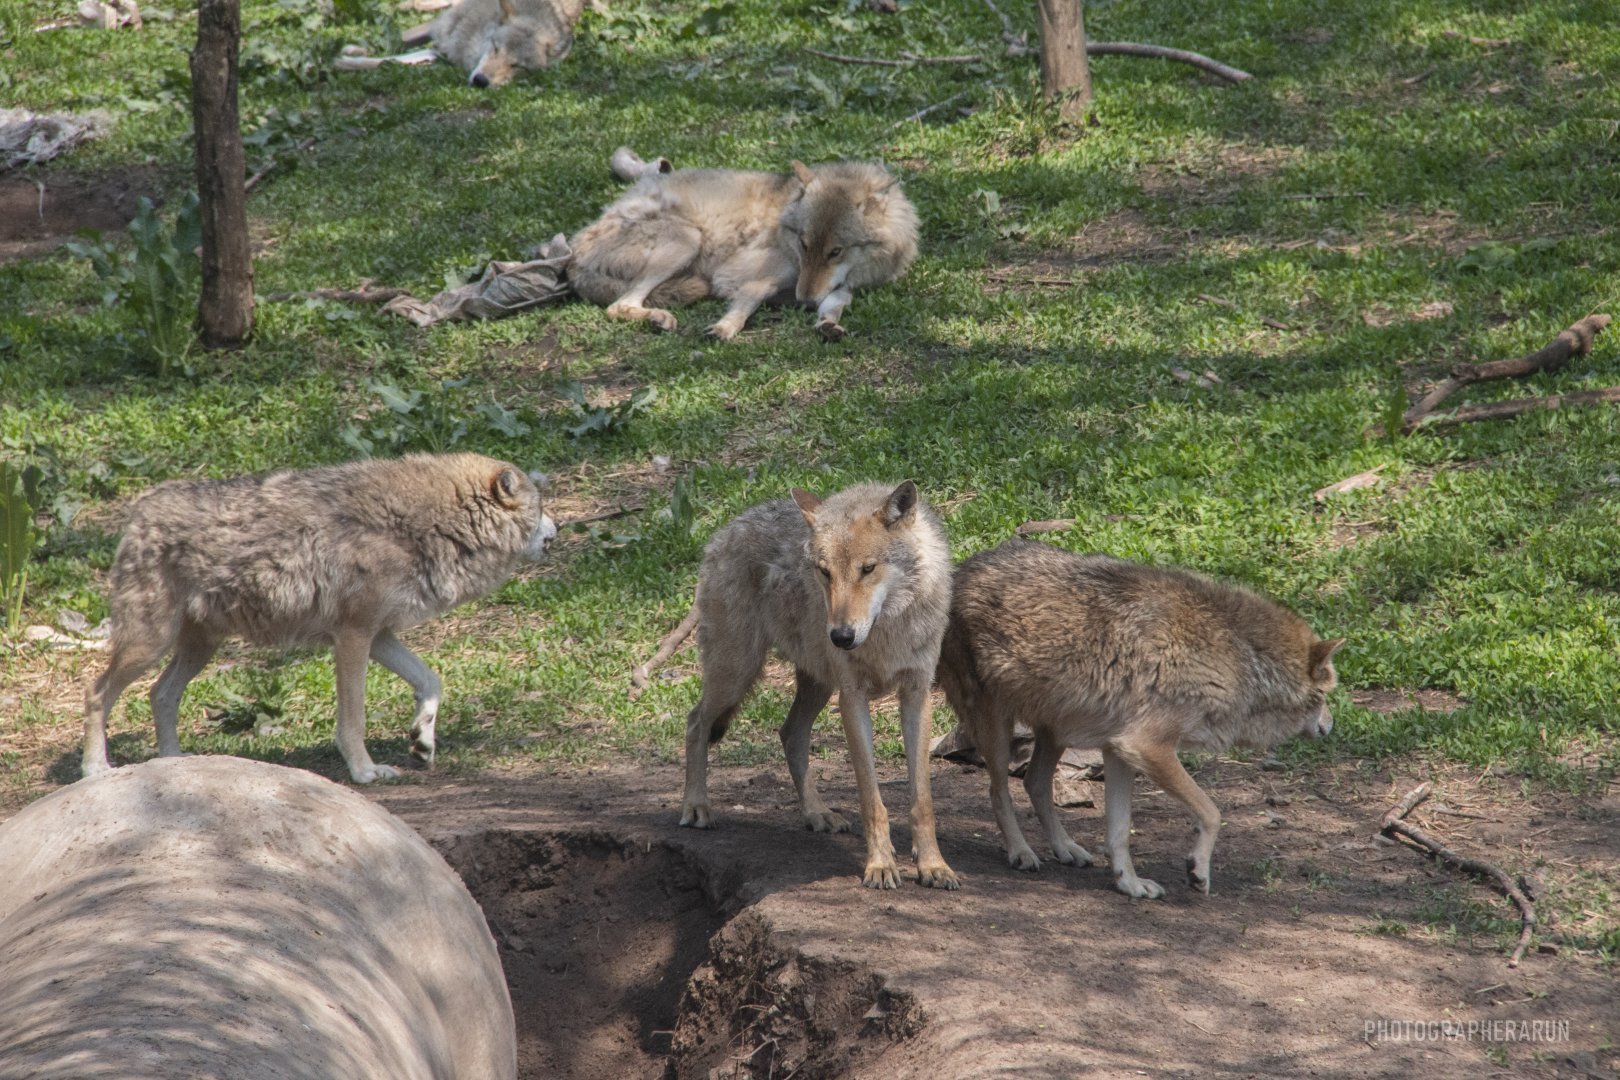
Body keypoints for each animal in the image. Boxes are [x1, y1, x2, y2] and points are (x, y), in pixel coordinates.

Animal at [82, 453, 557, 785]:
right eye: (540, 509)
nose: (558, 531)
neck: (422, 525)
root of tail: (140, 509)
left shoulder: (380, 635)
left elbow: (431, 680)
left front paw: (422, 740)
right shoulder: (353, 637)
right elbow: (353, 720)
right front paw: (365, 772)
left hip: (200, 648)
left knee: (160, 694)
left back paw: (173, 763)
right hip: (150, 644)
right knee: (98, 692)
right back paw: (96, 769)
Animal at [567, 149, 919, 341]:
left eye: (835, 251)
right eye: (804, 244)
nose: (803, 301)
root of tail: (572, 257)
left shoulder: (841, 287)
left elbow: (835, 304)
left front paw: (827, 324)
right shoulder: (757, 277)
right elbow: (747, 300)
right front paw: (724, 328)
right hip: (687, 238)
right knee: (618, 306)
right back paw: (658, 317)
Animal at [680, 481, 958, 890]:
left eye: (867, 569)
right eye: (825, 573)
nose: (841, 637)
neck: (887, 632)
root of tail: (725, 529)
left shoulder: (917, 696)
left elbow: (922, 800)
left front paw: (934, 865)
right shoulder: (852, 699)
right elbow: (871, 799)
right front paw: (880, 865)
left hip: (816, 685)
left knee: (790, 733)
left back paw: (816, 814)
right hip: (737, 674)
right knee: (696, 721)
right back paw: (696, 805)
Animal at [937, 541, 1344, 899]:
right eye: (1326, 695)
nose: (1331, 726)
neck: (1237, 657)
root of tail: (960, 569)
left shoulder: (1118, 750)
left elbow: (1119, 830)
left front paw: (1128, 883)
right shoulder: (1147, 747)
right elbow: (1212, 812)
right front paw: (1198, 871)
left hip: (1057, 730)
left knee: (1035, 782)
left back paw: (1066, 848)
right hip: (998, 727)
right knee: (999, 790)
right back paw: (1021, 852)